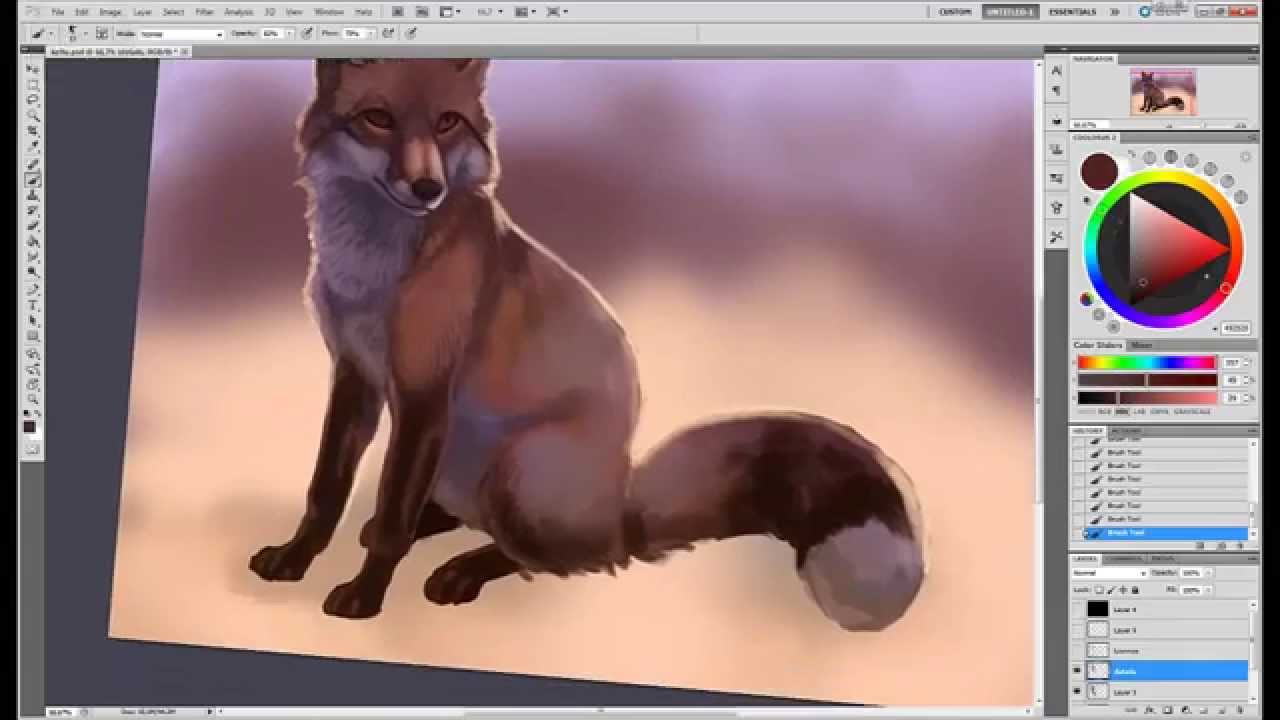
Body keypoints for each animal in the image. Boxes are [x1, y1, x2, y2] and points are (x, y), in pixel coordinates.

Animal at [248, 58, 928, 632]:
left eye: (446, 123)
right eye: (378, 118)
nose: (426, 188)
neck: (370, 272)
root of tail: (622, 503)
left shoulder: (423, 393)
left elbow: (392, 518)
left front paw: (365, 598)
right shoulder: (356, 376)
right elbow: (325, 491)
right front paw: (295, 558)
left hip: (519, 466)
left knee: (566, 557)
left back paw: (464, 569)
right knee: (469, 519)